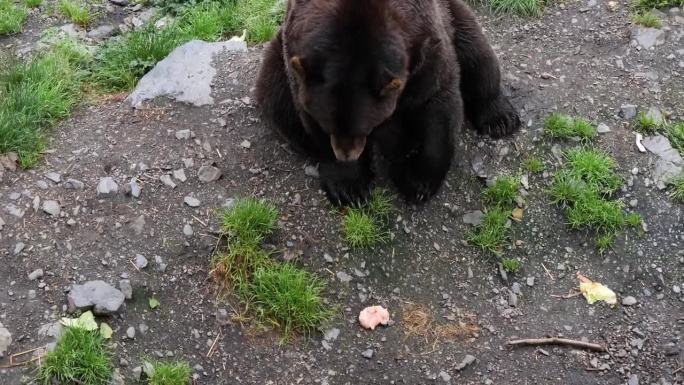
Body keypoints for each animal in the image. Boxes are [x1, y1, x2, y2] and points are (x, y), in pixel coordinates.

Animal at [255, 0, 520, 206]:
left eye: (365, 128)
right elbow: (309, 120)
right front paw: (350, 187)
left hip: (454, 15)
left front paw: (418, 181)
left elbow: (438, 104)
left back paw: (499, 119)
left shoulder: (427, 46)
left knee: (477, 53)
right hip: (275, 64)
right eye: (328, 126)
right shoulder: (296, 60)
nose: (347, 155)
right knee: (277, 102)